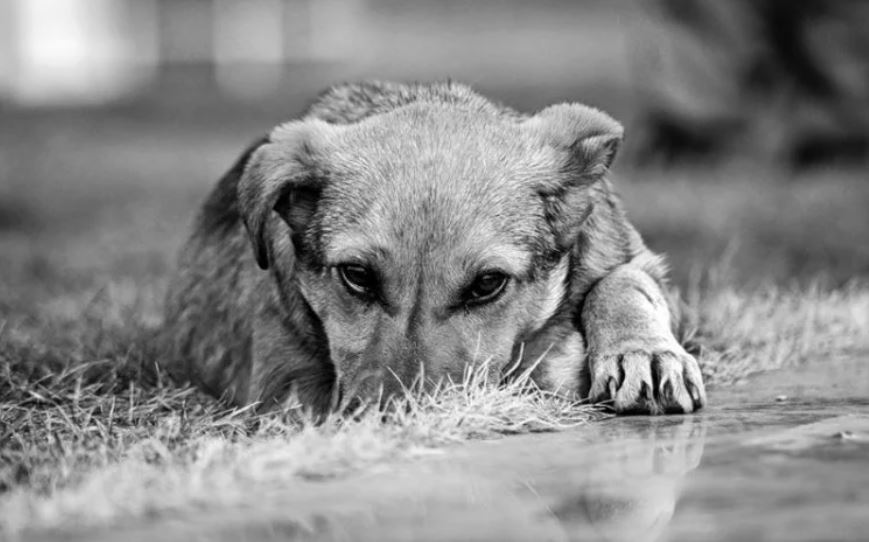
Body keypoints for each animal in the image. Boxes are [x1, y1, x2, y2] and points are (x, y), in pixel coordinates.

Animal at [162, 81, 706, 415]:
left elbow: (624, 284)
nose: (395, 420)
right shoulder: (281, 385)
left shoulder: (634, 261)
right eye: (356, 275)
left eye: (487, 284)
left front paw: (643, 353)